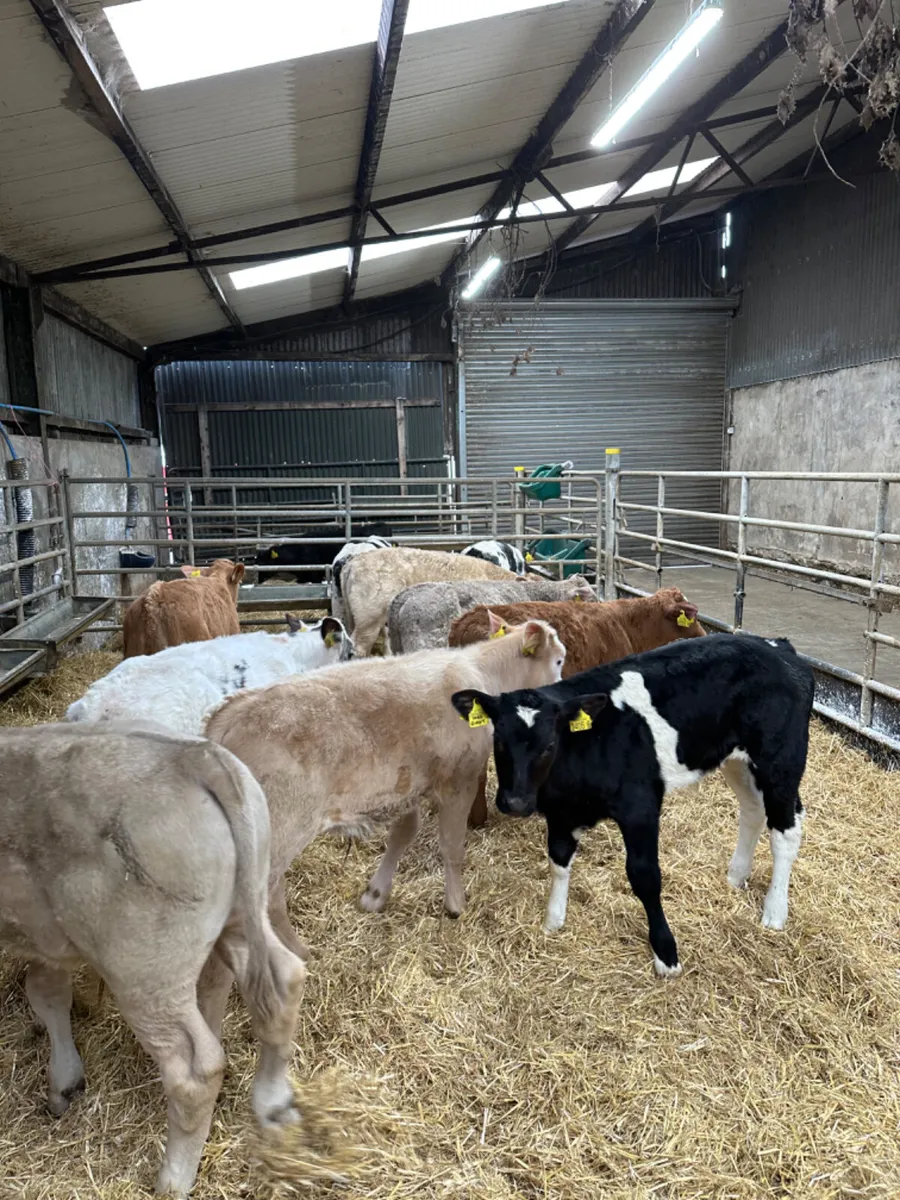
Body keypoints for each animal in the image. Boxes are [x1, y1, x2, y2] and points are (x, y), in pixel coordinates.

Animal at [0, 722, 306, 1197]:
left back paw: (174, 1179)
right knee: (282, 982)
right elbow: (46, 991)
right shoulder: (48, 932)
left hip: (144, 968)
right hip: (241, 913)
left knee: (195, 1070)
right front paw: (64, 1082)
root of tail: (194, 758)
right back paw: (273, 1103)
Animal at [203, 619, 566, 973]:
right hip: (279, 831)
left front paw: (375, 894)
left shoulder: (407, 787)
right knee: (263, 900)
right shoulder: (458, 781)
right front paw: (455, 905)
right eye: (560, 660)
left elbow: (402, 835)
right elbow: (452, 847)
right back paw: (296, 953)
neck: (482, 674)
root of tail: (230, 715)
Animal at [452, 634, 814, 978]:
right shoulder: (561, 812)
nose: (514, 802)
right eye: (498, 740)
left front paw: (666, 954)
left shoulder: (640, 807)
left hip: (780, 760)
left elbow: (644, 876)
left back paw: (774, 911)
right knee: (753, 810)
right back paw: (736, 875)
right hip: (736, 760)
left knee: (785, 829)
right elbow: (558, 861)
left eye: (549, 744)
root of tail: (777, 647)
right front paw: (553, 920)